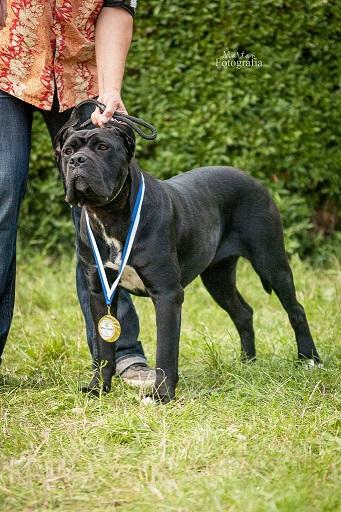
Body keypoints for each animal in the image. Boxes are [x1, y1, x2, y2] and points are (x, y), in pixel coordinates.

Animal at [54, 101, 320, 404]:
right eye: (68, 151)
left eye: (102, 147)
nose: (77, 161)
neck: (109, 215)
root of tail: (252, 179)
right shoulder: (99, 293)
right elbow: (103, 349)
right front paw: (98, 388)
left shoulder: (167, 294)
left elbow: (166, 349)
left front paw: (161, 394)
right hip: (218, 276)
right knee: (243, 312)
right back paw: (247, 362)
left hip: (271, 261)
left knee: (296, 309)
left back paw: (309, 360)